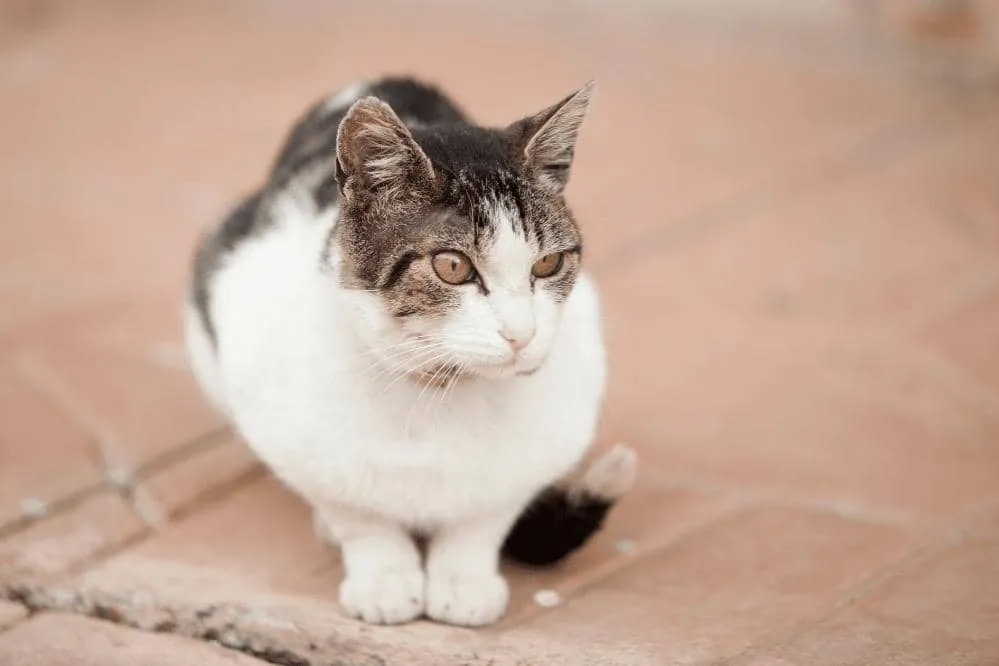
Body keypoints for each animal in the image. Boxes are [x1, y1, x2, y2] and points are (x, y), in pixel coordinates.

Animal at [185, 76, 636, 624]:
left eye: (548, 264)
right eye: (452, 266)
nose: (522, 334)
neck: (440, 391)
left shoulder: (559, 423)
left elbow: (487, 514)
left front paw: (463, 579)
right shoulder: (271, 400)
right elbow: (356, 512)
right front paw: (384, 577)